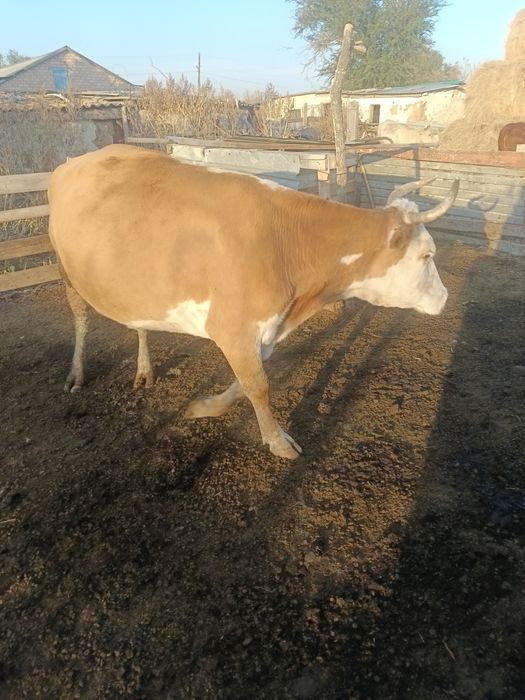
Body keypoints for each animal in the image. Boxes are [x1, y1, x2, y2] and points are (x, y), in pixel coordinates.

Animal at [48, 144, 458, 459]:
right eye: (427, 254)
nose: (444, 297)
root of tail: (72, 163)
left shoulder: (261, 328)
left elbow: (246, 382)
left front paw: (204, 407)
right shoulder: (232, 326)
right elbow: (259, 385)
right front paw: (278, 441)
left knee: (140, 324)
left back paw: (145, 370)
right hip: (67, 270)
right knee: (80, 318)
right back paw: (76, 374)